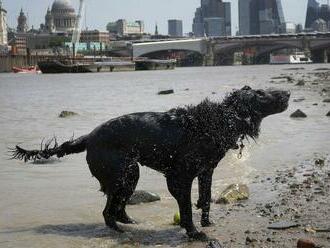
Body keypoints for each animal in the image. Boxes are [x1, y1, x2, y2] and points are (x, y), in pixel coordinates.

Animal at [9, 85, 288, 240]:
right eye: (260, 94)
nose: (286, 93)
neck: (217, 120)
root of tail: (89, 137)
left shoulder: (206, 171)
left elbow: (205, 199)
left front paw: (207, 223)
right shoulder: (180, 176)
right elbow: (187, 208)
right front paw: (194, 233)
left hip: (129, 175)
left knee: (118, 207)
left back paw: (131, 223)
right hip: (122, 173)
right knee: (108, 211)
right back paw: (120, 232)